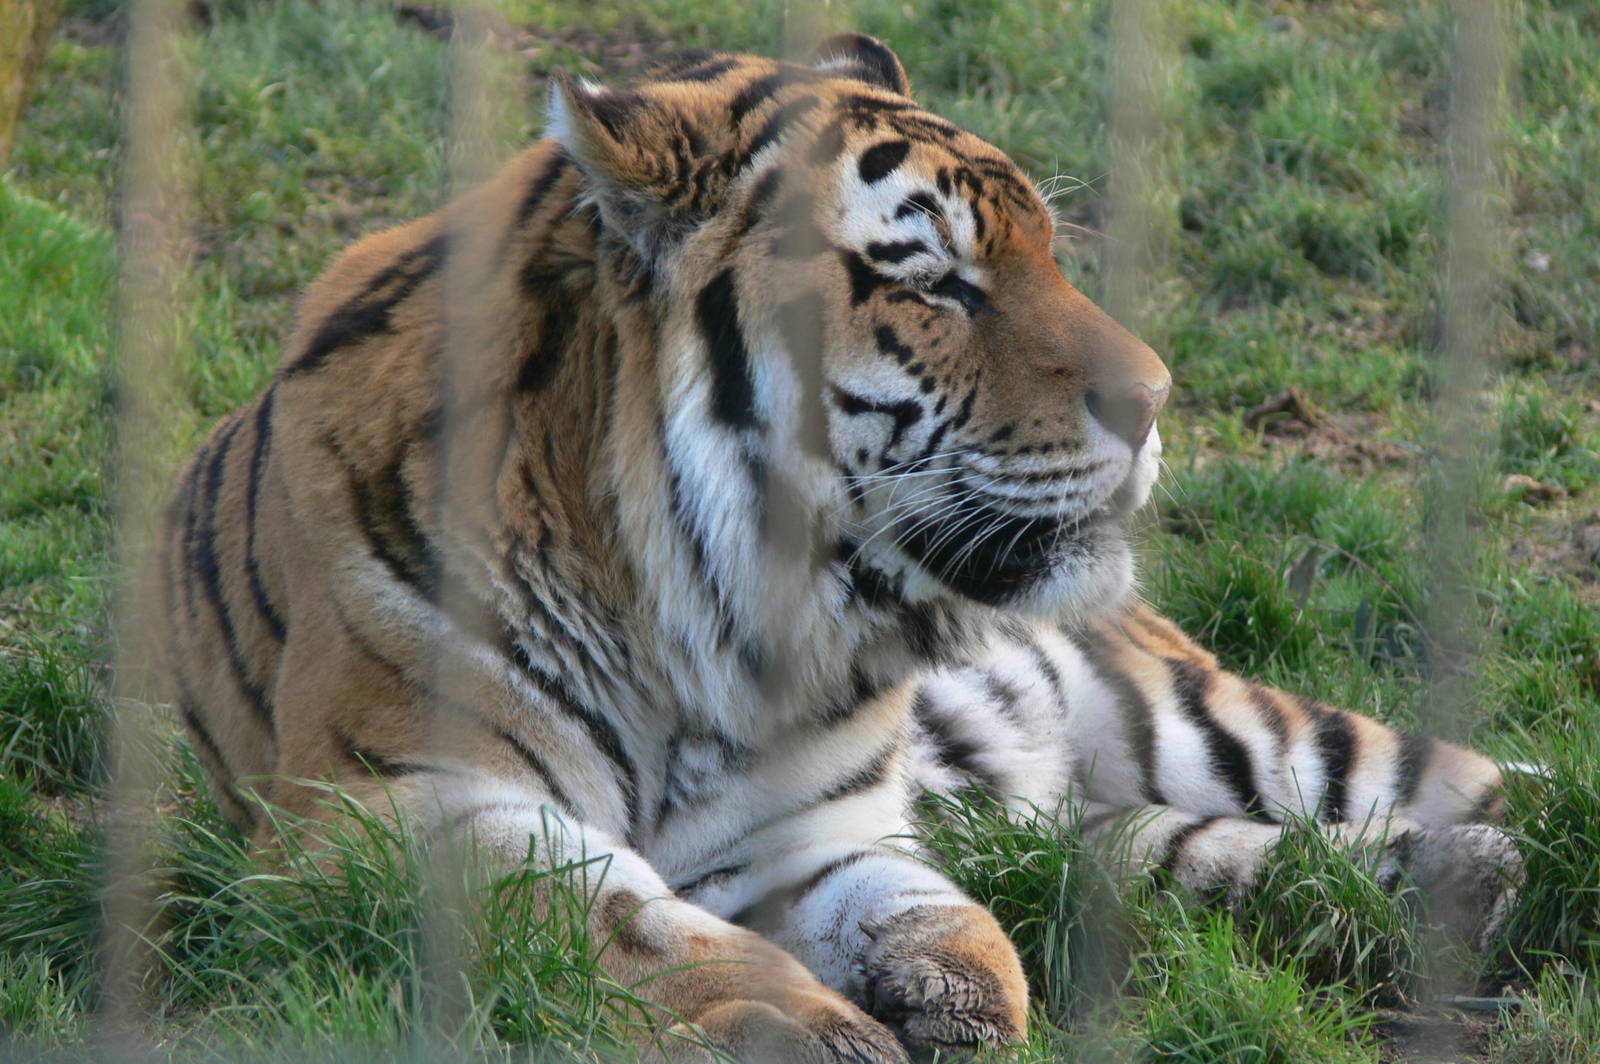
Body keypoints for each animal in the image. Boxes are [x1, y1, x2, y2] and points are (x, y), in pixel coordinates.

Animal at [154, 34, 1522, 1061]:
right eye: (934, 283)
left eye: (1046, 252)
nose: (1154, 398)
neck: (692, 622)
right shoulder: (397, 803)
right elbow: (615, 911)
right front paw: (810, 1026)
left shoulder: (815, 832)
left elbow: (942, 917)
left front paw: (954, 996)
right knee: (1175, 851)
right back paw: (1455, 880)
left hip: (1200, 718)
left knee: (1462, 776)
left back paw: (1499, 859)